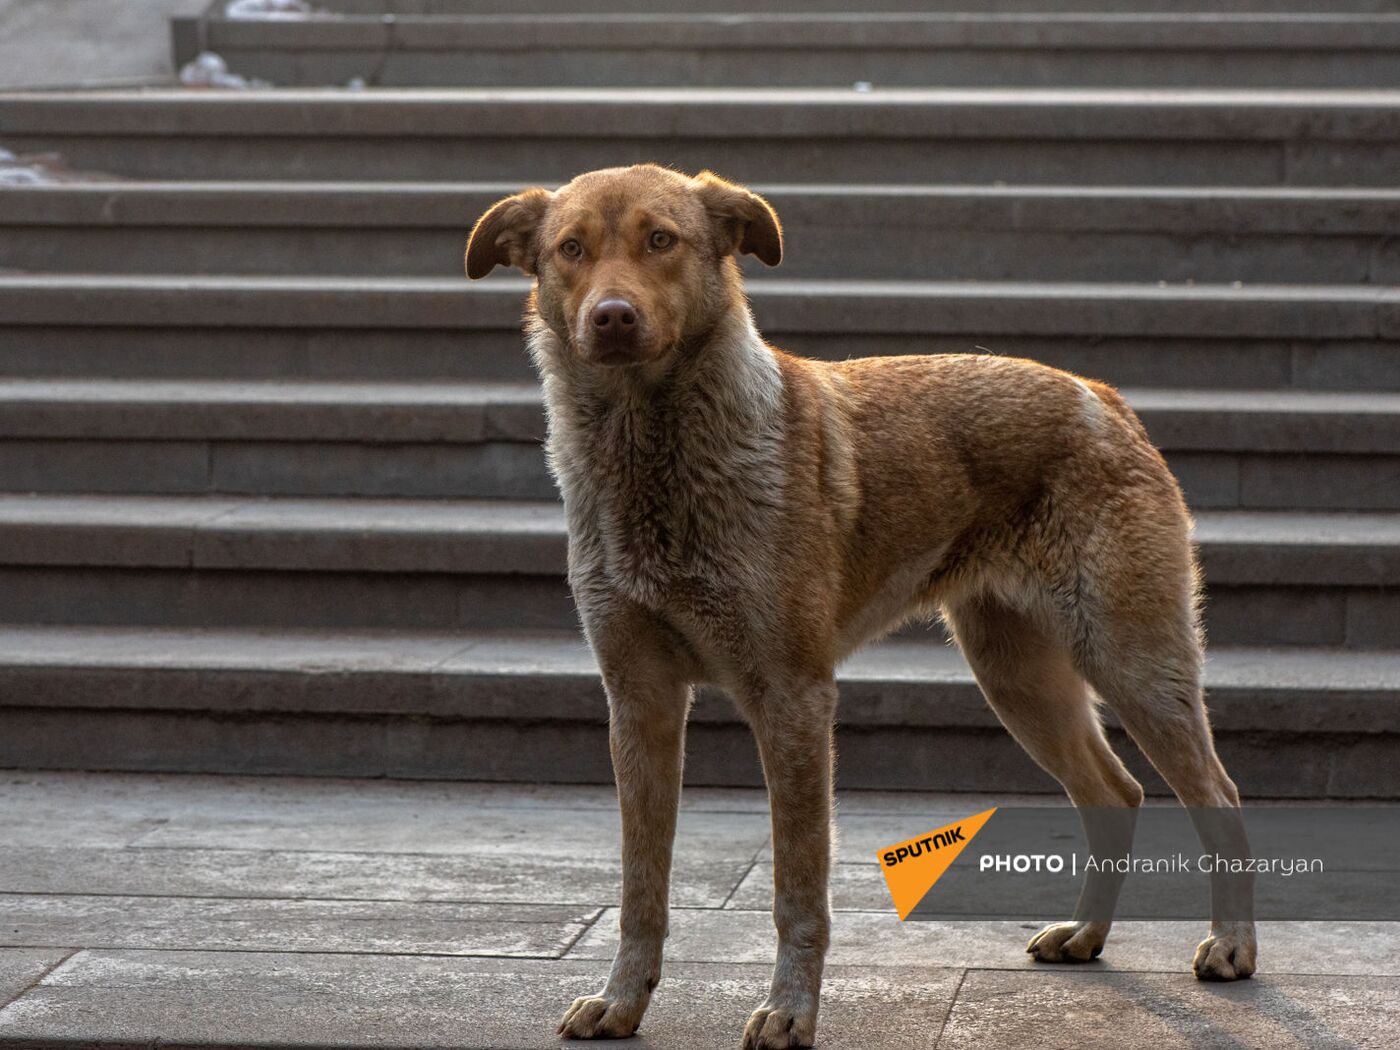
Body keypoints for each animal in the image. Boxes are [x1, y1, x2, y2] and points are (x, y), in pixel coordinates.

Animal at [467, 166, 1260, 1050]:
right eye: (570, 250)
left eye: (660, 240)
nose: (611, 317)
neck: (653, 456)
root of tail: (1101, 396)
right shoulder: (638, 703)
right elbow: (642, 887)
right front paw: (622, 1002)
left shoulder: (793, 699)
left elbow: (797, 890)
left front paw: (789, 1012)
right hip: (1019, 678)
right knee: (1114, 794)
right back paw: (1086, 936)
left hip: (1132, 661)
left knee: (1220, 799)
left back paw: (1231, 948)